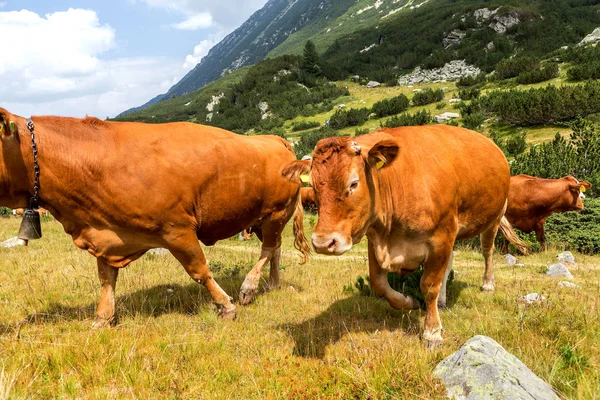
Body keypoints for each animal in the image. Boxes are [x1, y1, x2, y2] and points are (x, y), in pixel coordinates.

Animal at [0, 108, 310, 326]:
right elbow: (106, 278)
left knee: (268, 248)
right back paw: (272, 283)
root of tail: (275, 140)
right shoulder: (106, 231)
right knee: (275, 249)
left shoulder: (177, 229)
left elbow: (200, 270)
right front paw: (103, 318)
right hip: (261, 218)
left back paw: (249, 287)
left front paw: (225, 305)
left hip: (276, 212)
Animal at [284, 126, 528, 346]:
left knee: (487, 251)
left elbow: (429, 285)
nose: (323, 243)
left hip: (494, 217)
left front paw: (432, 331)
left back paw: (487, 284)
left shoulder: (440, 237)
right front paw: (409, 302)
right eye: (314, 186)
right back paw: (442, 301)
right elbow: (379, 283)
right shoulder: (376, 239)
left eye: (353, 183)